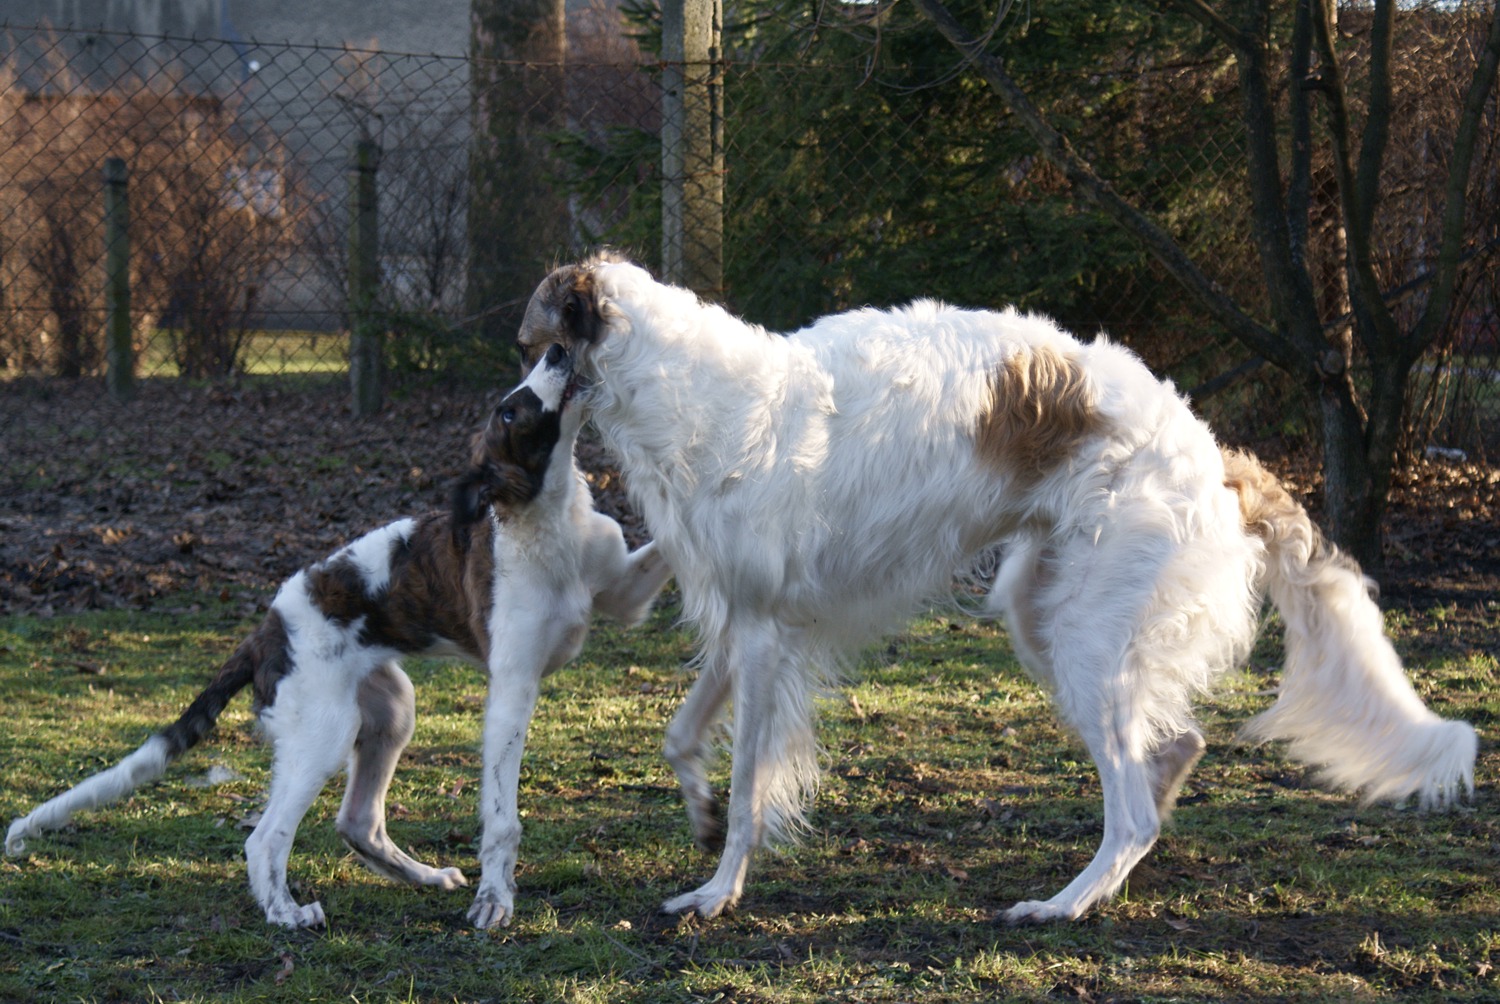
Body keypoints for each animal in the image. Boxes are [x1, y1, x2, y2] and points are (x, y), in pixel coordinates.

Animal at [4, 355, 675, 930]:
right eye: (510, 412)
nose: (560, 350)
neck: (548, 516)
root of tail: (265, 631)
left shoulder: (623, 594)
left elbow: (669, 541)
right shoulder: (513, 686)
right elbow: (501, 817)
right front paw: (495, 900)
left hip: (390, 708)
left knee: (358, 822)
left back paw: (424, 877)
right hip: (323, 733)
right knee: (265, 837)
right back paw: (286, 914)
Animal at [516, 252, 1476, 924]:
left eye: (549, 348)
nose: (509, 408)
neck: (694, 396)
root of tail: (1213, 453)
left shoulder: (759, 636)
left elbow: (753, 782)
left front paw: (719, 889)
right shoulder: (758, 625)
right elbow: (682, 738)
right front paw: (704, 818)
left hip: (1085, 634)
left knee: (1133, 808)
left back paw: (1064, 904)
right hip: (1040, 612)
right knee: (1171, 752)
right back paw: (1114, 871)